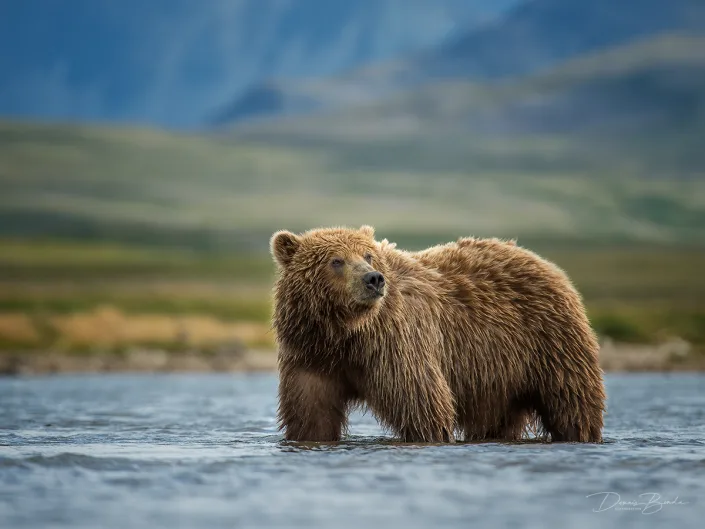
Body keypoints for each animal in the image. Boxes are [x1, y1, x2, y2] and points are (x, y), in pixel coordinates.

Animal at [270, 225, 605, 443]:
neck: (346, 333)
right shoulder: (311, 357)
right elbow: (311, 414)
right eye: (336, 260)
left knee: (571, 401)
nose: (373, 279)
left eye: (368, 255)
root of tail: (544, 262)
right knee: (498, 417)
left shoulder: (397, 344)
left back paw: (579, 434)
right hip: (498, 375)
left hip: (550, 342)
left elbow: (422, 403)